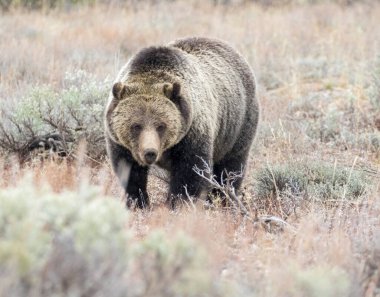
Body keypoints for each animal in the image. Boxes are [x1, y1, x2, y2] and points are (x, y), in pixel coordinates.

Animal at [104, 37, 258, 208]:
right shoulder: (121, 143)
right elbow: (131, 172)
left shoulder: (191, 134)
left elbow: (190, 173)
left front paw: (179, 204)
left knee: (230, 166)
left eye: (161, 126)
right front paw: (138, 203)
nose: (150, 152)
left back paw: (224, 198)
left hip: (237, 125)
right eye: (136, 126)